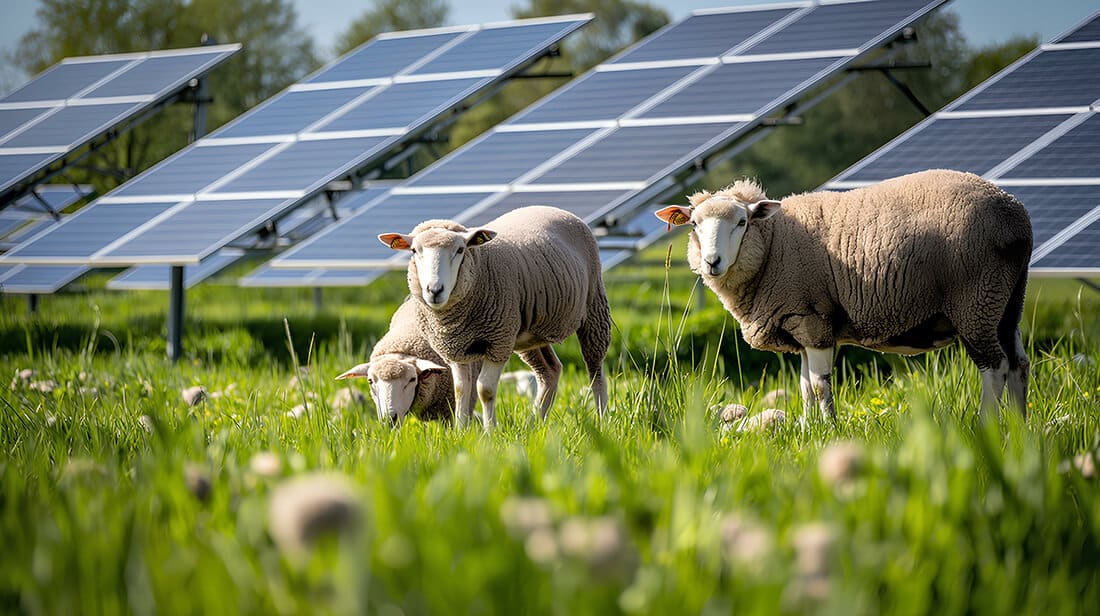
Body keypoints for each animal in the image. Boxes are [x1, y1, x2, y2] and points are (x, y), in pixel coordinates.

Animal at [380, 205, 616, 429]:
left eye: (460, 250)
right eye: (414, 250)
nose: (434, 290)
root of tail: (556, 209)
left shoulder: (498, 342)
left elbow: (484, 390)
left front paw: (489, 432)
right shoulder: (454, 349)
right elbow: (461, 390)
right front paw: (461, 432)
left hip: (594, 307)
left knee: (595, 370)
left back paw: (602, 421)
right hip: (528, 333)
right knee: (550, 371)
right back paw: (534, 425)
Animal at [660, 168, 1029, 418]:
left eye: (742, 222)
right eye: (694, 224)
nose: (712, 262)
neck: (773, 244)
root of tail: (1016, 216)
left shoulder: (813, 320)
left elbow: (819, 385)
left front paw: (828, 429)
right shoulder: (800, 326)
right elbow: (805, 387)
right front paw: (808, 429)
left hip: (976, 300)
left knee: (994, 367)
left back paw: (986, 426)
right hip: (1006, 301)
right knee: (1018, 364)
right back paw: (1018, 427)